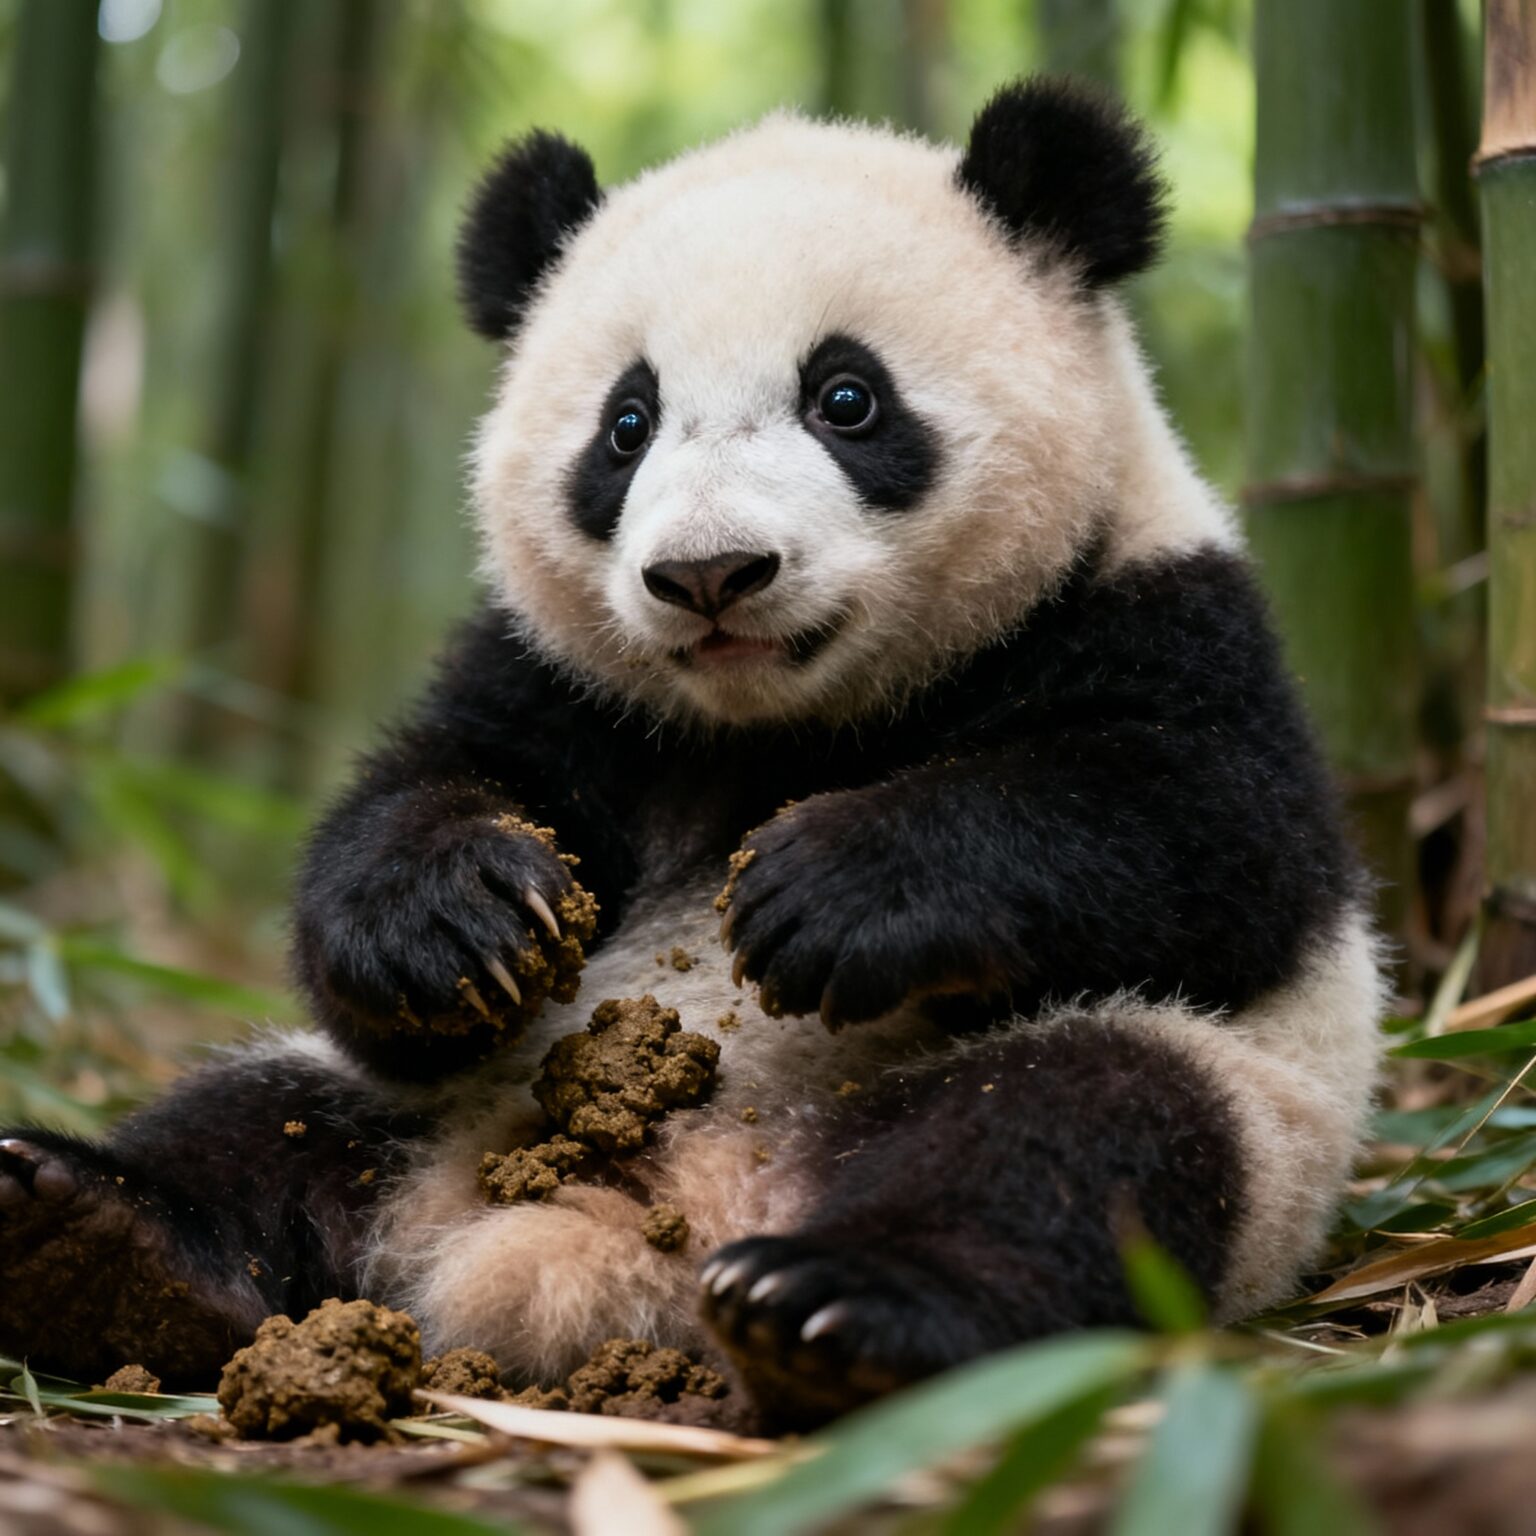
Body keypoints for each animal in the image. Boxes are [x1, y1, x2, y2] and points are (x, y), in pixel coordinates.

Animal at [0, 79, 1382, 1431]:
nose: (711, 573)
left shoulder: (1164, 610)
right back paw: (93, 1240)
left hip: (1223, 1101)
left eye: (847, 398)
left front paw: (829, 893)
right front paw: (452, 918)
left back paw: (839, 1311)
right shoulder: (556, 681)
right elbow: (409, 826)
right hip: (423, 1112)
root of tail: (637, 1246)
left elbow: (1217, 837)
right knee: (260, 1120)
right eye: (626, 425)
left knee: (1075, 1133)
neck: (779, 720)